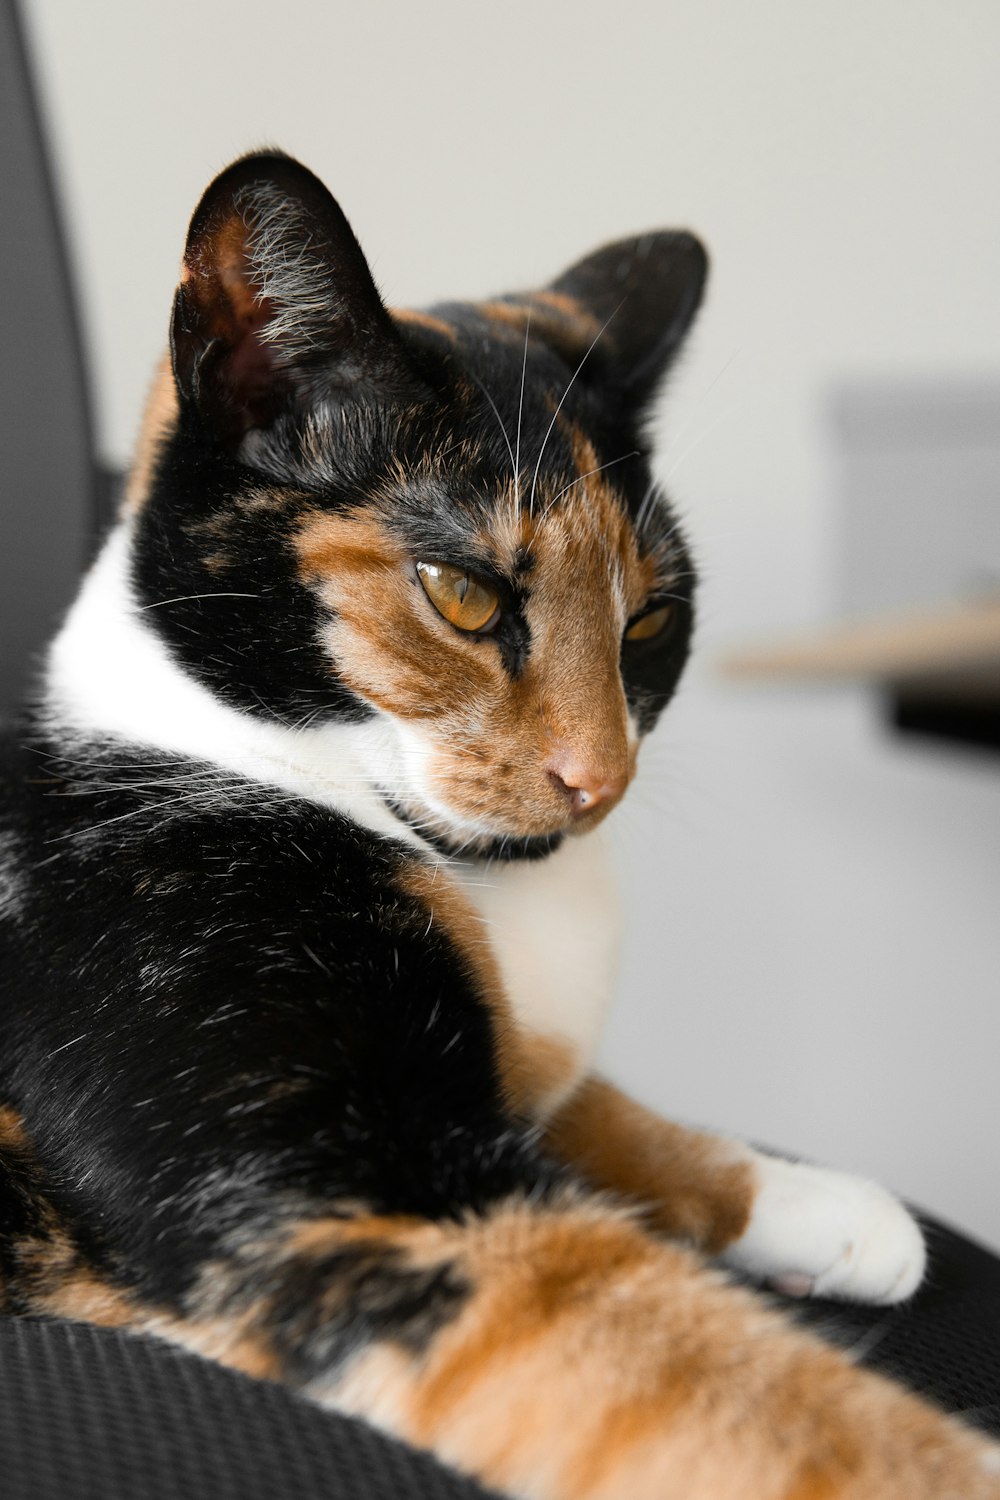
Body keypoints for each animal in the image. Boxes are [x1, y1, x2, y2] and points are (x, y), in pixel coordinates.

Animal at [0, 155, 995, 1500]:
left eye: (650, 620)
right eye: (464, 594)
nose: (599, 778)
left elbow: (590, 1103)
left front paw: (815, 1205)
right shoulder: (342, 1176)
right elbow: (692, 1361)